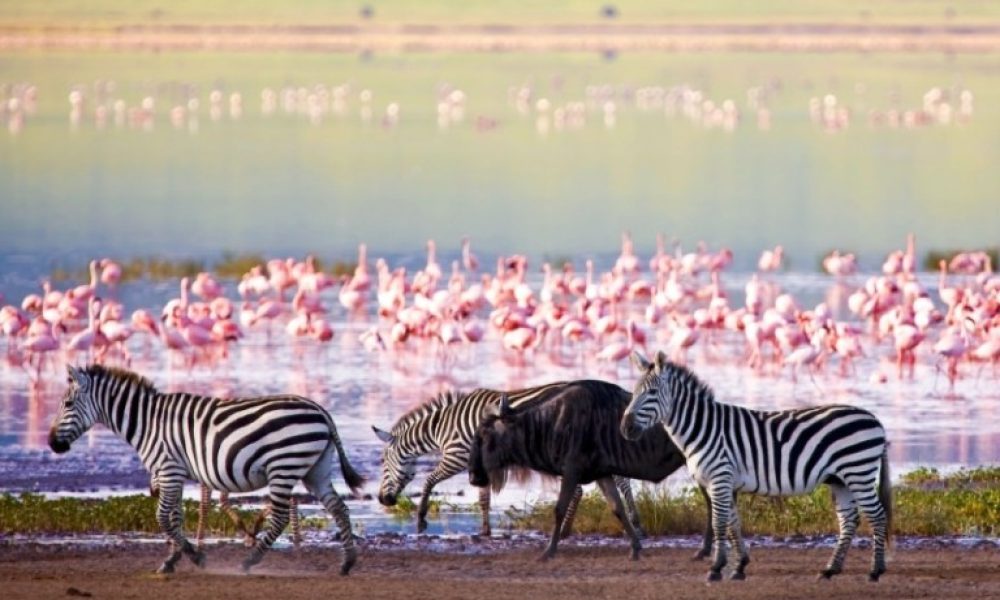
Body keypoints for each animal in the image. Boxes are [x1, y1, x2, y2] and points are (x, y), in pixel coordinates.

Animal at [49, 364, 364, 576]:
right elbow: (175, 517)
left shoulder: (168, 469)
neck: (147, 422)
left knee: (281, 517)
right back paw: (347, 563)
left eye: (67, 404)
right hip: (315, 470)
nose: (52, 443)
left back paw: (249, 561)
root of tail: (321, 411)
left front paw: (194, 556)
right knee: (339, 507)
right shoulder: (172, 474)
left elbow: (162, 517)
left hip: (283, 467)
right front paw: (172, 560)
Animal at [372, 384, 644, 540]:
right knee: (619, 481)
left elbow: (429, 481)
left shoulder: (456, 456)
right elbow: (483, 499)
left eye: (383, 463)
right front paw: (485, 531)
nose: (382, 500)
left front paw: (420, 520)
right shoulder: (478, 463)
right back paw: (634, 521)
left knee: (583, 488)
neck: (442, 427)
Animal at [620, 352, 896, 580]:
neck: (703, 428)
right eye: (634, 392)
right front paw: (739, 567)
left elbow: (719, 523)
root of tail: (875, 419)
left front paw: (716, 568)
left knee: (877, 516)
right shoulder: (724, 482)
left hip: (858, 472)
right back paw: (830, 570)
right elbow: (733, 524)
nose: (625, 428)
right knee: (848, 520)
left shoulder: (720, 478)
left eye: (651, 393)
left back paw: (875, 570)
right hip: (841, 480)